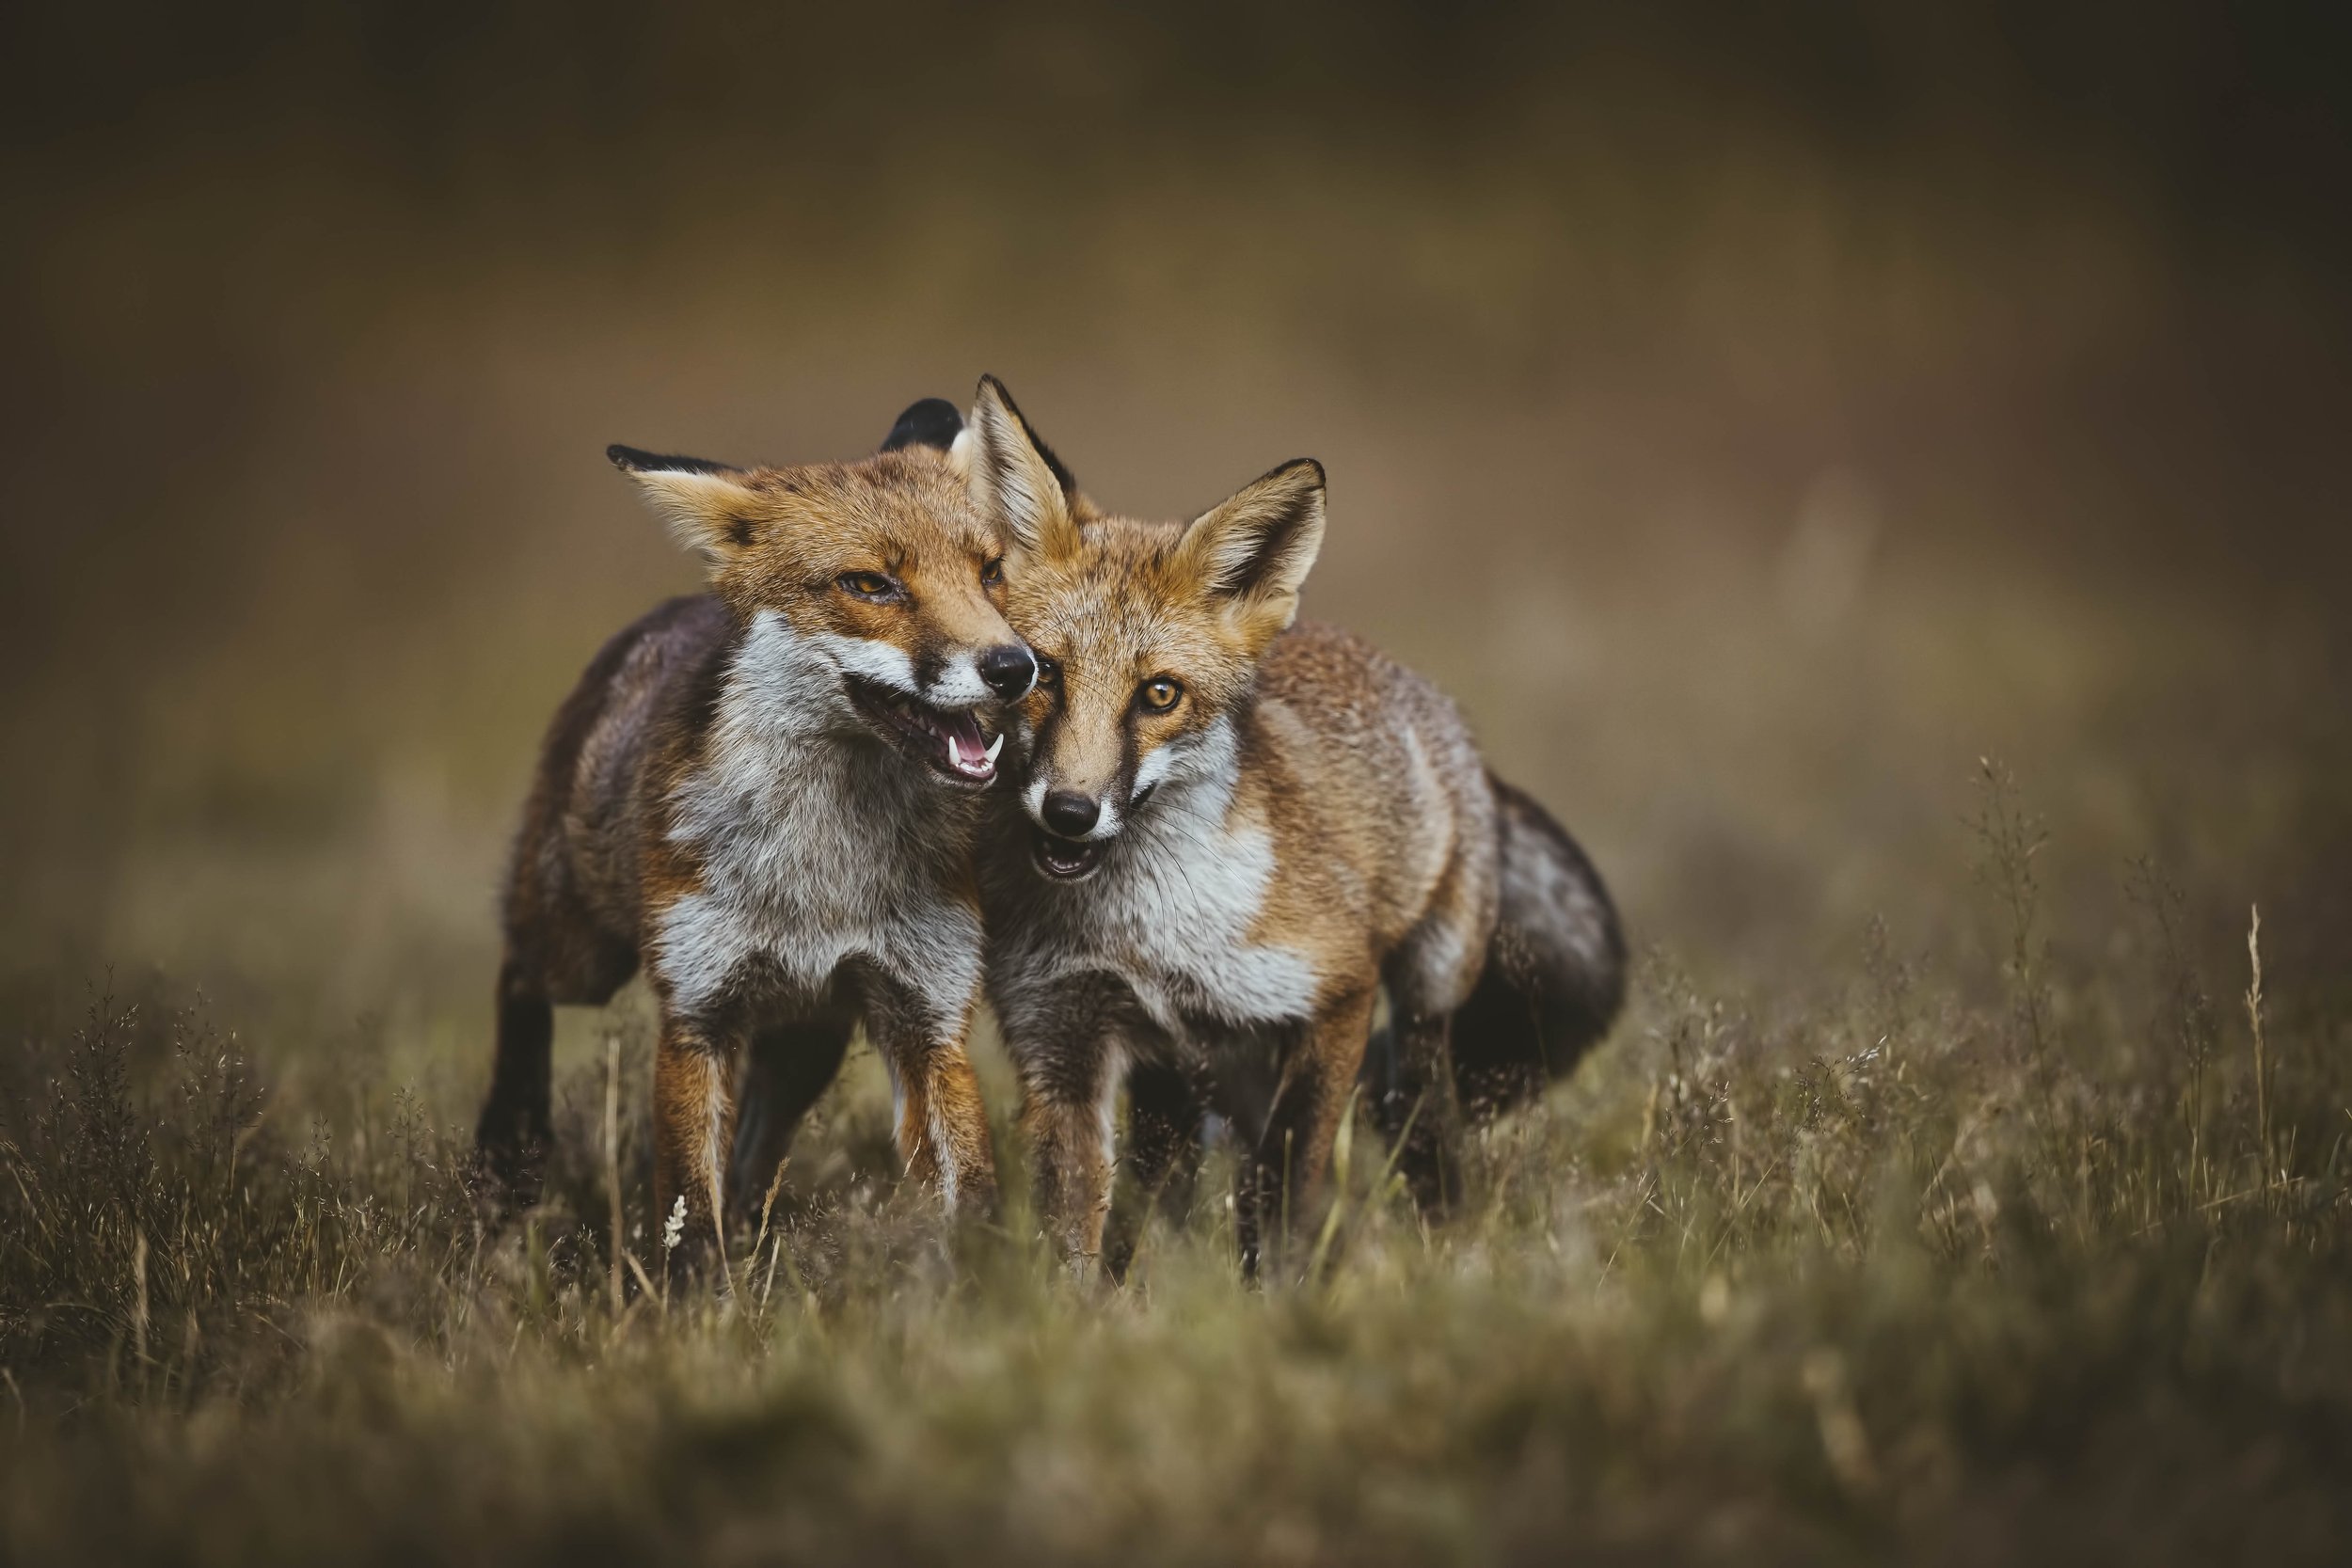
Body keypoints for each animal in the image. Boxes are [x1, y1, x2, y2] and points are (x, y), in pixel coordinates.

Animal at [471, 386, 1039, 1267]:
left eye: (989, 572)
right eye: (871, 583)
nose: (1015, 668)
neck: (823, 870)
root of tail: (674, 606)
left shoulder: (925, 1009)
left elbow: (969, 1188)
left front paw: (982, 1284)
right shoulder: (697, 1010)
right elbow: (686, 1207)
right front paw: (697, 1296)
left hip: (811, 1037)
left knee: (758, 1142)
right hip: (583, 950)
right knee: (520, 974)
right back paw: (508, 1150)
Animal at [964, 382, 1625, 1277]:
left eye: (1160, 694)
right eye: (1038, 672)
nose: (1070, 809)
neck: (1142, 936)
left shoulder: (1336, 993)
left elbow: (1283, 1188)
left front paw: (1278, 1294)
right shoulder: (1066, 1038)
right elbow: (1078, 1235)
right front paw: (1089, 1309)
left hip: (1423, 1003)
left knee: (1416, 1124)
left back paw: (1444, 1249)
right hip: (1190, 1075)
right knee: (1168, 1177)